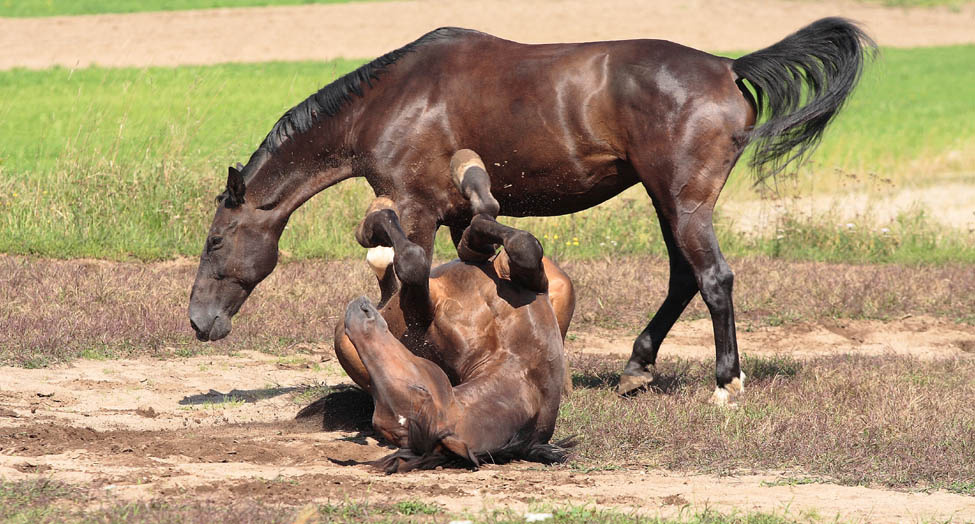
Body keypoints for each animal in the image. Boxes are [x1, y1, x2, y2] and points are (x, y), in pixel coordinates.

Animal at [187, 18, 872, 406]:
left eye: (216, 242)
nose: (198, 322)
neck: (391, 102)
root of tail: (729, 68)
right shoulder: (455, 215)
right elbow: (473, 267)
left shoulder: (415, 208)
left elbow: (407, 282)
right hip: (666, 202)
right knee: (684, 278)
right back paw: (636, 369)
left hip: (684, 202)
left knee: (714, 280)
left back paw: (727, 384)